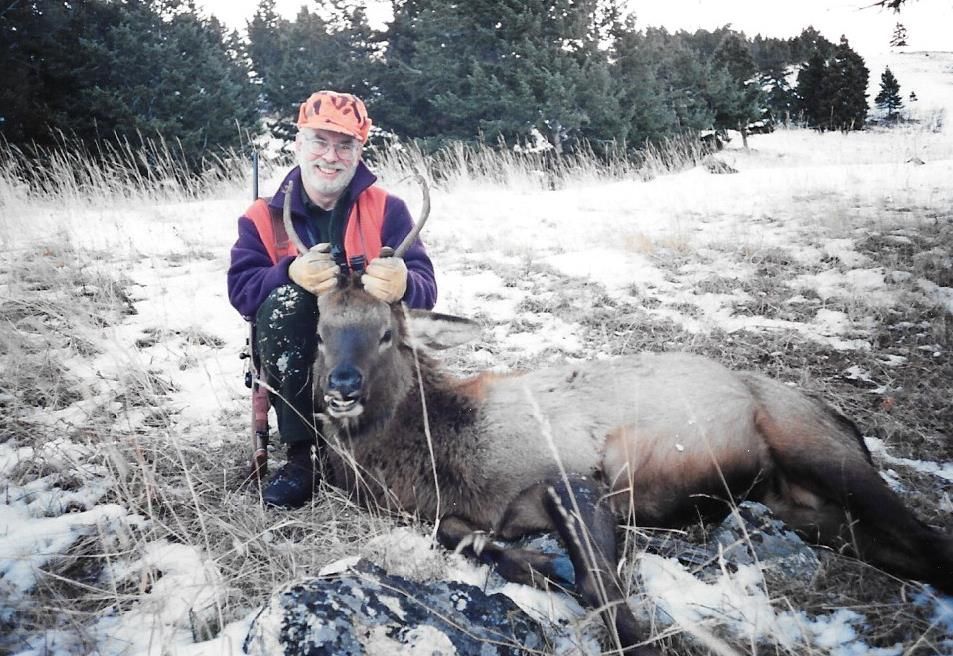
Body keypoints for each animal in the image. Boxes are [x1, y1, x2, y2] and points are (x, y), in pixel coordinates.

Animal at [278, 181, 953, 655]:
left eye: (387, 334)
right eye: (320, 334)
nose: (341, 389)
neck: (446, 456)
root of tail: (844, 419)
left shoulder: (580, 473)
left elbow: (601, 590)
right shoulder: (466, 514)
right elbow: (467, 538)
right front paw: (540, 564)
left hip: (819, 448)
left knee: (929, 538)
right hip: (800, 506)